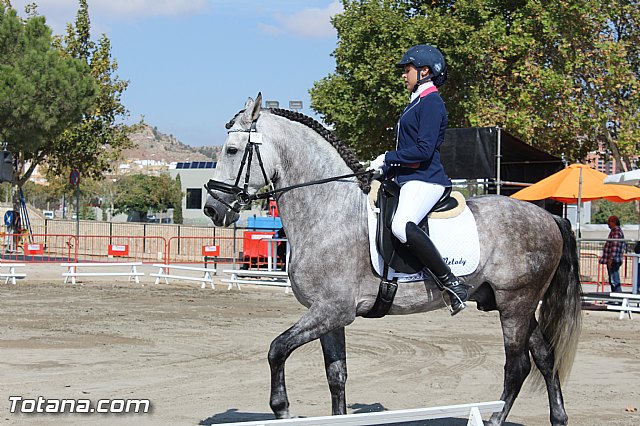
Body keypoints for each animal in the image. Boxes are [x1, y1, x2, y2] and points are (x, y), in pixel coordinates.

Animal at [203, 94, 582, 426]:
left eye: (232, 150)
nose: (212, 209)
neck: (328, 208)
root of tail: (550, 217)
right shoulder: (328, 314)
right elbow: (336, 375)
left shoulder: (333, 310)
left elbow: (276, 349)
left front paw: (281, 409)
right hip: (515, 304)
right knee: (545, 357)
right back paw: (559, 418)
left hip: (515, 303)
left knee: (517, 367)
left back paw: (492, 418)